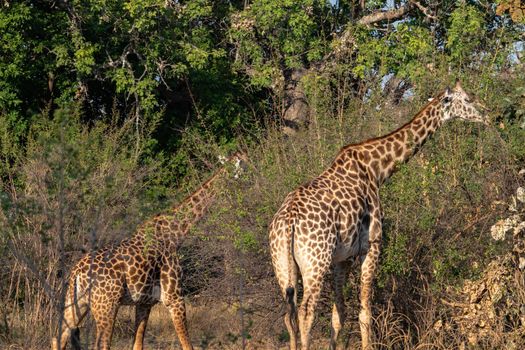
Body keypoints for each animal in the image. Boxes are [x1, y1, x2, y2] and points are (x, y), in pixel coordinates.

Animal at [51, 152, 246, 350]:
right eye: (242, 164)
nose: (248, 177)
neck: (175, 234)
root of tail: (76, 272)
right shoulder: (174, 297)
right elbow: (187, 344)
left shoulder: (145, 302)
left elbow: (138, 344)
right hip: (106, 306)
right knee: (100, 344)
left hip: (77, 303)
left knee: (58, 337)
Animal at [268, 80, 490, 348]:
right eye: (467, 99)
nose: (487, 115)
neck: (377, 170)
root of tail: (288, 222)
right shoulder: (371, 244)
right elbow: (365, 311)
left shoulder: (342, 258)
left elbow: (339, 314)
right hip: (315, 262)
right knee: (305, 313)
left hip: (282, 264)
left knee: (288, 315)